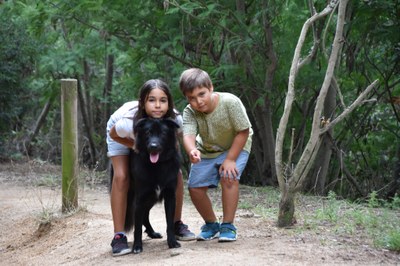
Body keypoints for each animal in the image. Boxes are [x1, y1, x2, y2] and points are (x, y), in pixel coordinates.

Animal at [125, 118, 181, 254]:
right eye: (148, 132)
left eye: (163, 133)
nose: (153, 146)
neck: (158, 165)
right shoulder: (140, 199)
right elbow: (137, 227)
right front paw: (137, 246)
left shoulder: (170, 197)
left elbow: (169, 223)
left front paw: (172, 242)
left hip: (151, 199)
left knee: (145, 215)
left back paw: (152, 233)